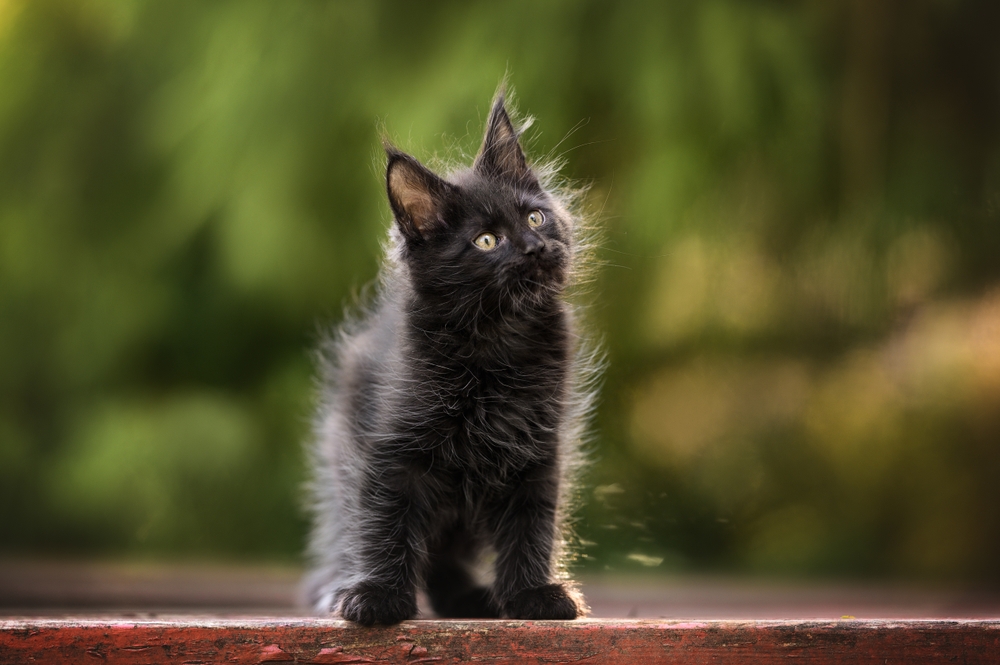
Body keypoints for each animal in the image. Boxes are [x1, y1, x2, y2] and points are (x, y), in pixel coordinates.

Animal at [304, 92, 596, 624]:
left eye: (534, 217)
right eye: (486, 241)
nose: (535, 246)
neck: (496, 338)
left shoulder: (538, 450)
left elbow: (532, 524)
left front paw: (532, 594)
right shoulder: (390, 450)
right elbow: (384, 523)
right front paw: (378, 595)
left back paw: (469, 597)